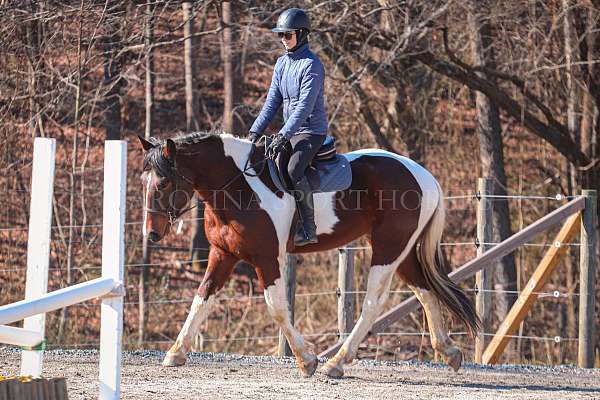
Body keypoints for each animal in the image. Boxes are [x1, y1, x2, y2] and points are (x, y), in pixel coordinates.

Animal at [138, 132, 480, 378]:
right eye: (143, 182)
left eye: (164, 182)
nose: (151, 234)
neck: (239, 188)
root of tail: (423, 175)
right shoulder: (223, 255)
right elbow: (202, 297)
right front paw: (176, 352)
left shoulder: (266, 259)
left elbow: (277, 308)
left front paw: (307, 360)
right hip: (403, 251)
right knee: (424, 291)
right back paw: (449, 351)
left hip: (388, 249)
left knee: (373, 303)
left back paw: (336, 363)